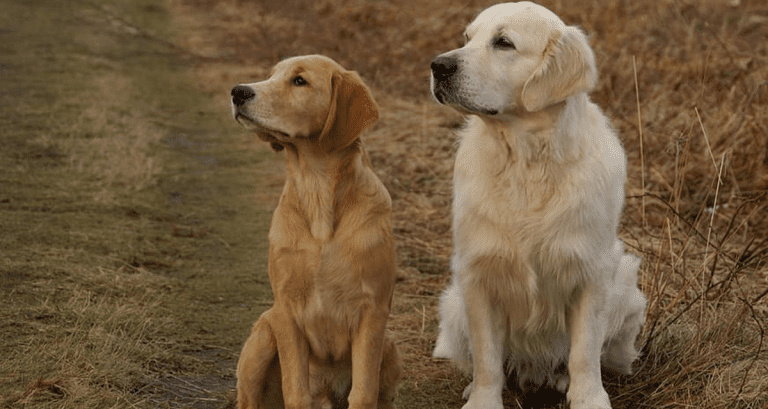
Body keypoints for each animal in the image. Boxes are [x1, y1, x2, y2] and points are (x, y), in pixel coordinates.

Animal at [231, 55, 402, 408]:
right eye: (271, 75)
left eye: (300, 81)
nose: (238, 91)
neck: (317, 190)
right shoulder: (286, 310)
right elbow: (295, 391)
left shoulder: (372, 312)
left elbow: (363, 393)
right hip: (263, 336)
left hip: (390, 347)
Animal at [432, 3, 648, 408]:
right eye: (467, 38)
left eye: (503, 43)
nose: (438, 66)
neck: (527, 161)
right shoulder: (478, 272)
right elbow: (487, 358)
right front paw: (483, 400)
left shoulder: (591, 273)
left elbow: (584, 352)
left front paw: (589, 398)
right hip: (453, 304)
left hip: (626, 288)